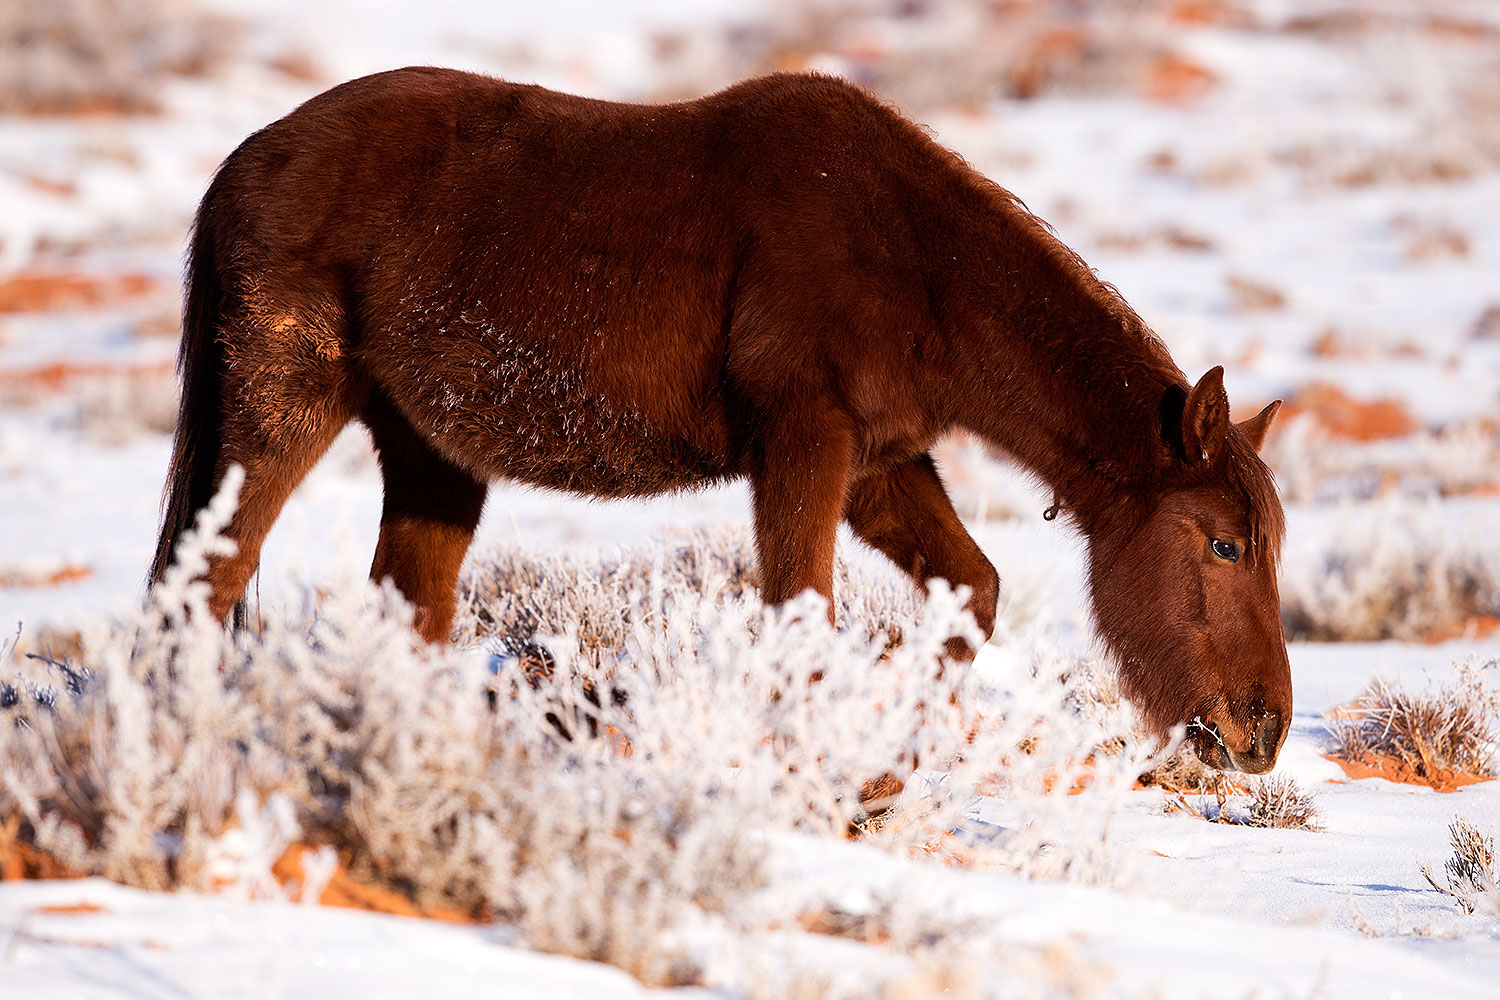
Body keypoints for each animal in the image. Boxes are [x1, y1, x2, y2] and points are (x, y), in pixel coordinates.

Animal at [151, 68, 1291, 773]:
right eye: (1225, 545)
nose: (1265, 729)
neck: (916, 264)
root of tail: (242, 165)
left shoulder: (877, 464)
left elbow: (973, 589)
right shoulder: (802, 447)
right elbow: (805, 618)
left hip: (432, 454)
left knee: (404, 614)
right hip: (279, 412)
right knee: (203, 588)